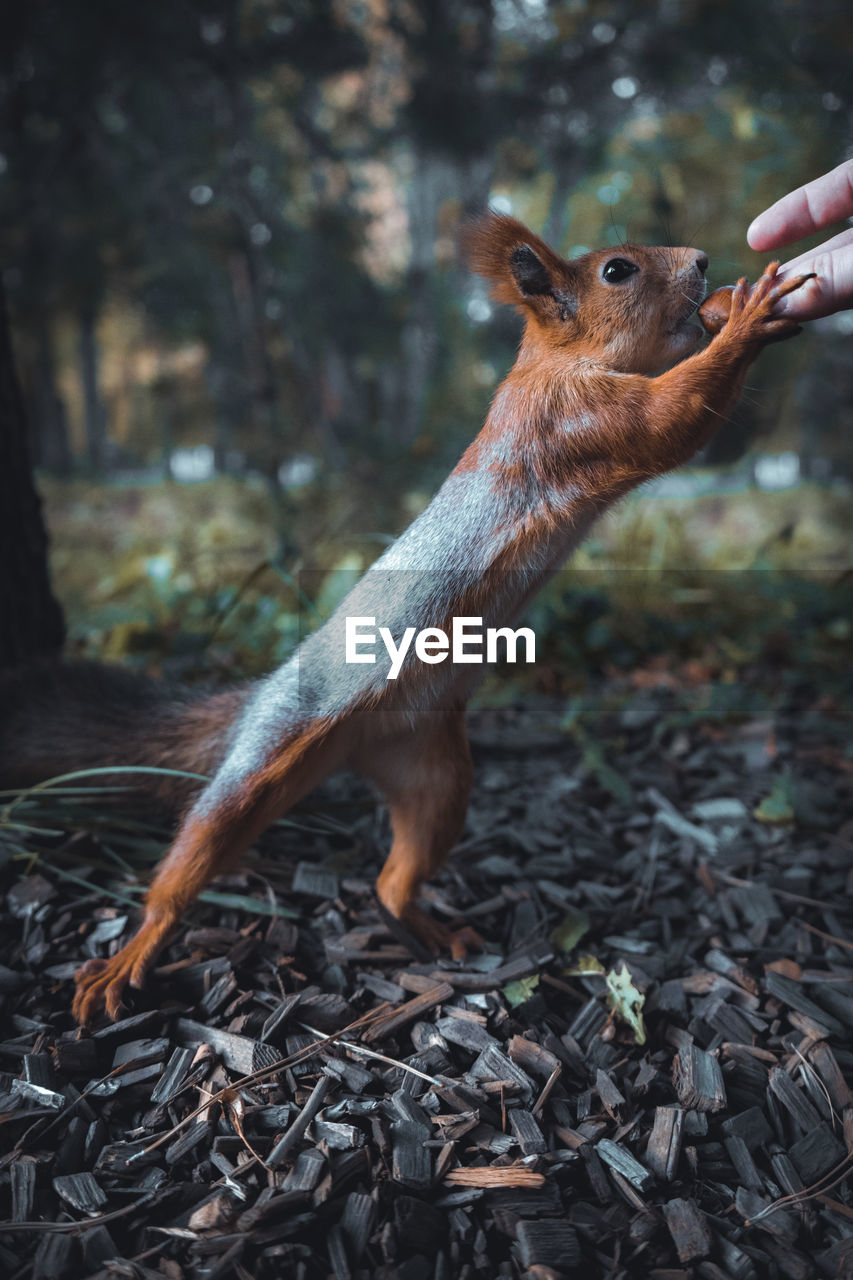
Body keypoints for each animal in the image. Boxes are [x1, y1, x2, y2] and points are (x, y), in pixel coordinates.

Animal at [0, 212, 809, 1029]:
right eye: (618, 270)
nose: (703, 261)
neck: (553, 362)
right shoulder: (571, 418)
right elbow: (669, 422)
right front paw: (747, 318)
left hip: (434, 773)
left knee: (396, 874)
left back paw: (427, 924)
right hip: (265, 757)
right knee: (194, 851)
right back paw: (136, 948)